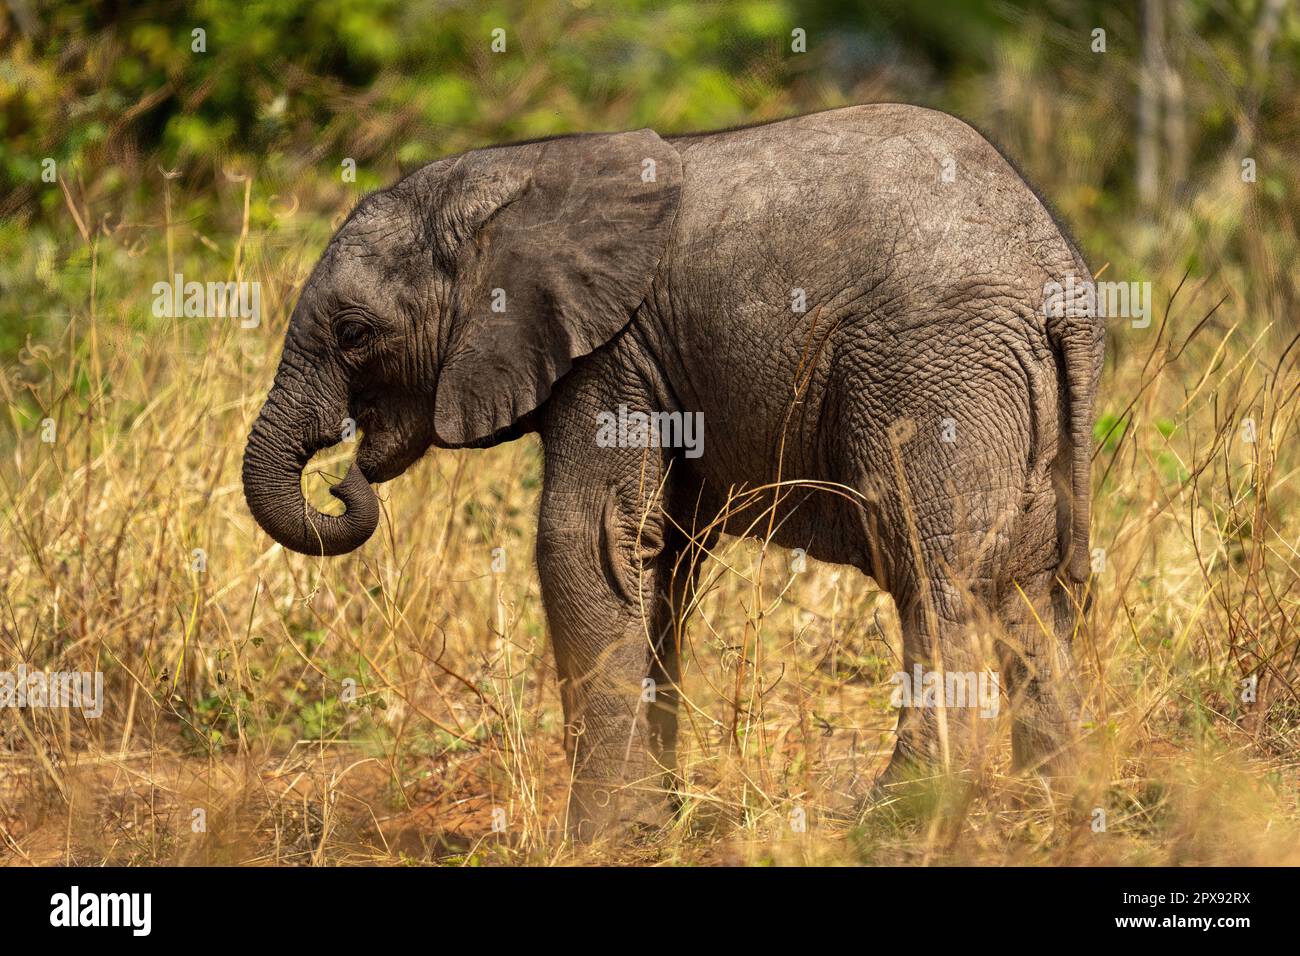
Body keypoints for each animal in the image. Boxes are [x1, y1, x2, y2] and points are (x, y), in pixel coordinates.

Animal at [243, 104, 1104, 840]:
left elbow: (580, 544)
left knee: (934, 576)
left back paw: (893, 821)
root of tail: (1054, 277)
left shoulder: (611, 353)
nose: (344, 475)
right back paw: (1050, 810)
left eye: (355, 334)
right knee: (1032, 594)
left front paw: (594, 841)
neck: (512, 175)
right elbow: (659, 558)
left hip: (933, 373)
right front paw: (655, 827)